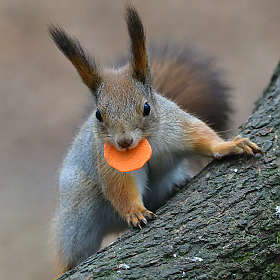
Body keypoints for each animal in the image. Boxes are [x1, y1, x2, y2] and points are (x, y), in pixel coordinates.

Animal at [47, 3, 260, 274]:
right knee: (73, 253)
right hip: (78, 213)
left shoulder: (177, 126)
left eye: (146, 107)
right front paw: (136, 212)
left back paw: (176, 186)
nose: (124, 142)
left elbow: (202, 136)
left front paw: (230, 145)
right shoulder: (108, 164)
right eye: (98, 115)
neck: (146, 144)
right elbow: (121, 189)